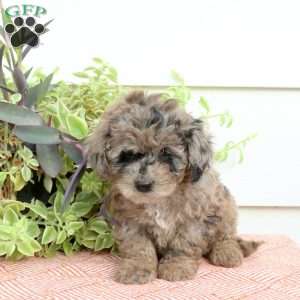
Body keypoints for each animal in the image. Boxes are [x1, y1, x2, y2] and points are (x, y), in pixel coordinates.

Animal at [86, 91, 260, 284]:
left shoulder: (195, 217)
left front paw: (177, 266)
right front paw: (137, 269)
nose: (143, 185)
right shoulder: (129, 220)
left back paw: (227, 251)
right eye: (128, 155)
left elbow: (184, 244)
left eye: (166, 153)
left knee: (227, 234)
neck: (160, 199)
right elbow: (138, 246)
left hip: (226, 205)